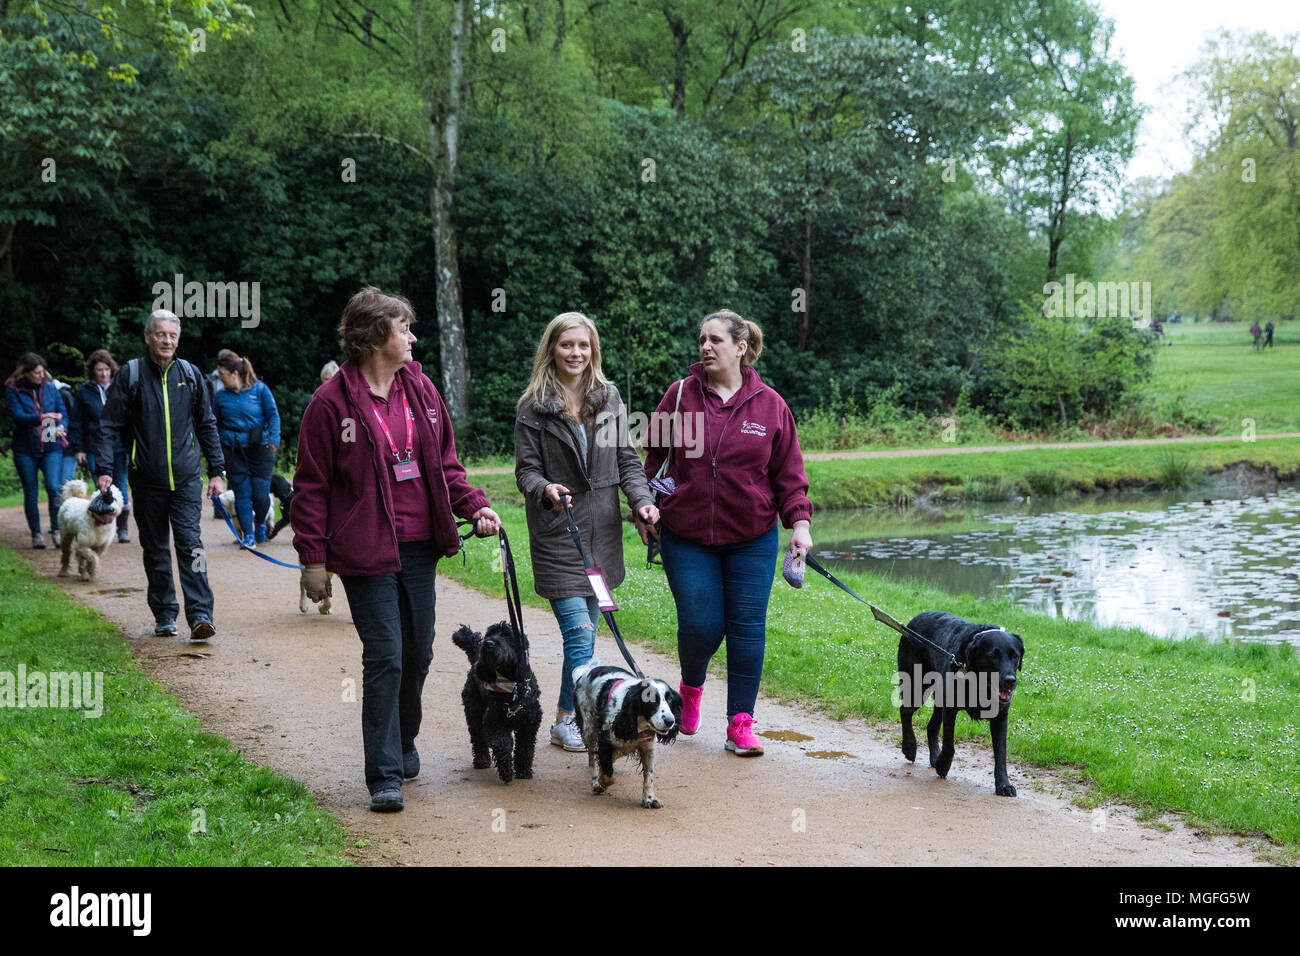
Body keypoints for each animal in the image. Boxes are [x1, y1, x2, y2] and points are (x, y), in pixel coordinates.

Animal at [454, 621, 540, 785]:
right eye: (490, 633)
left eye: (507, 635)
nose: (488, 643)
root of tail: (476, 659)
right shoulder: (494, 722)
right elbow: (503, 745)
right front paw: (506, 771)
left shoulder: (529, 724)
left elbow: (525, 748)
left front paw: (524, 771)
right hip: (474, 713)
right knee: (478, 738)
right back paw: (481, 760)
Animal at [894, 616, 1024, 796]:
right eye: (993, 655)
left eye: (1015, 655)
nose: (1010, 680)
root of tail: (913, 621)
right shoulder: (950, 706)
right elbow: (949, 744)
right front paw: (943, 765)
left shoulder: (1000, 716)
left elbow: (1001, 754)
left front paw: (1004, 785)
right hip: (917, 686)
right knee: (905, 711)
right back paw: (910, 747)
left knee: (931, 726)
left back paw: (934, 757)